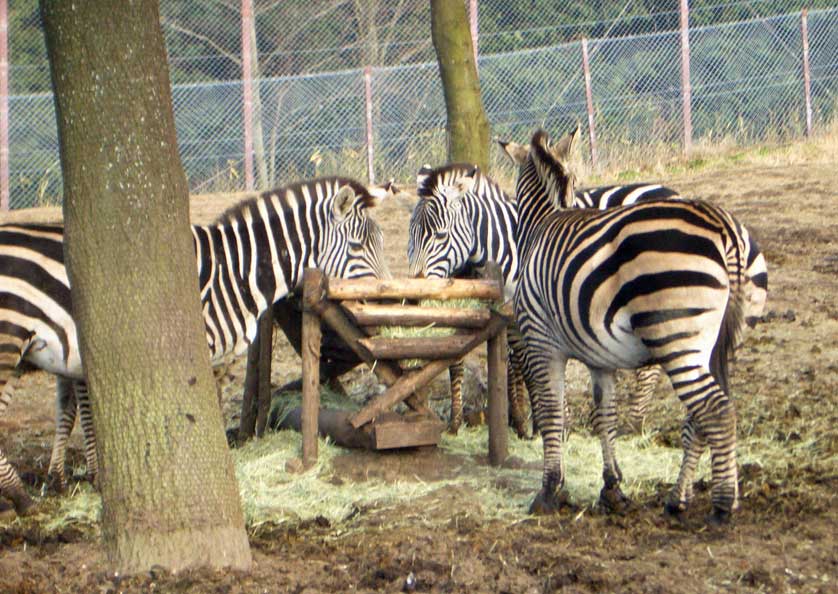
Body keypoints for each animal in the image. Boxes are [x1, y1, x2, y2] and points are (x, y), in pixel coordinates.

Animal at [0, 177, 390, 516]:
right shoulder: (204, 350)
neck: (235, 272)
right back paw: (20, 497)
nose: (383, 302)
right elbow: (201, 410)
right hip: (9, 338)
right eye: (358, 247)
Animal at [509, 127, 750, 523]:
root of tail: (721, 226)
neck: (545, 220)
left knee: (716, 410)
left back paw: (722, 505)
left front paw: (549, 491)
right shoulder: (599, 357)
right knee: (703, 414)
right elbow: (603, 416)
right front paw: (612, 489)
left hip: (675, 337)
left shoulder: (541, 341)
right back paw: (679, 499)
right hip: (710, 343)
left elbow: (551, 413)